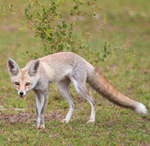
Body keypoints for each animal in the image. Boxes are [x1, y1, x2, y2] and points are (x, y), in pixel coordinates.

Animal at [7, 51, 146, 128]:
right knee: (73, 103)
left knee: (93, 101)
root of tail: (81, 57)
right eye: (17, 83)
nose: (21, 93)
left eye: (27, 84)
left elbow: (42, 112)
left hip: (79, 87)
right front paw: (37, 125)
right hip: (62, 88)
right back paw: (67, 120)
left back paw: (91, 121)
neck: (39, 75)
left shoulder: (45, 92)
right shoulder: (37, 94)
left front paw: (42, 125)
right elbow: (37, 111)